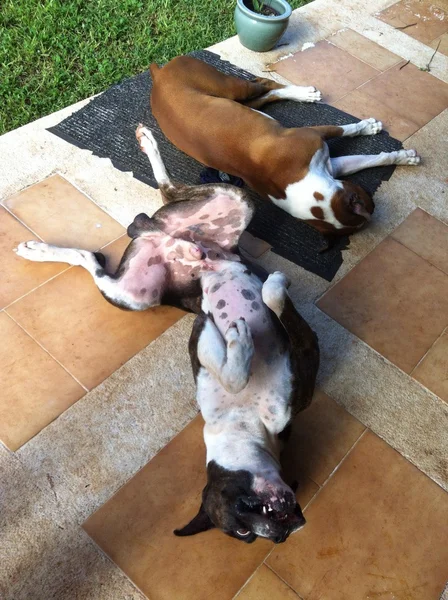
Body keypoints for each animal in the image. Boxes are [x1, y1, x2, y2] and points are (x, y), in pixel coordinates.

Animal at [14, 126, 318, 544]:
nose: (287, 525)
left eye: (259, 533)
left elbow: (267, 309)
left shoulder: (300, 357)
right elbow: (232, 364)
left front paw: (254, 316)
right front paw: (239, 341)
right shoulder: (208, 339)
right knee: (100, 251)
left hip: (229, 205)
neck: (242, 421)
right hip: (134, 295)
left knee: (163, 196)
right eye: (244, 528)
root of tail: (160, 233)